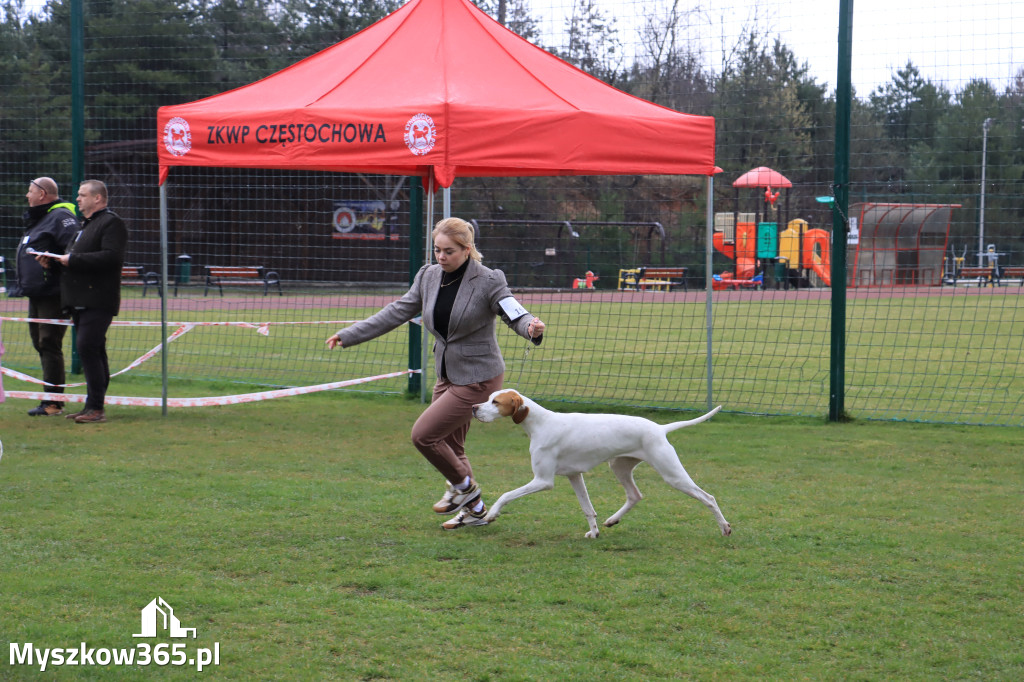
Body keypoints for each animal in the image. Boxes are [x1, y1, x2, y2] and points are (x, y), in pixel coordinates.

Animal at [471, 387, 729, 536]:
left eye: (495, 402)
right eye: (488, 398)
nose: (473, 407)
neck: (541, 423)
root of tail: (659, 428)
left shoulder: (543, 481)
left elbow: (506, 494)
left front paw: (491, 514)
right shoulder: (574, 475)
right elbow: (588, 509)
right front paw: (593, 533)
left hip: (673, 475)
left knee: (708, 498)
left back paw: (725, 528)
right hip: (619, 467)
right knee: (635, 495)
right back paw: (613, 519)